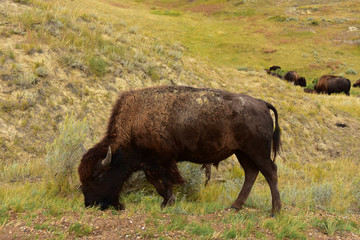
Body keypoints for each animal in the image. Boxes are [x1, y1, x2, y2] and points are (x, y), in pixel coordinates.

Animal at [78, 85, 282, 215]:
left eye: (99, 177)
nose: (90, 204)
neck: (137, 119)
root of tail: (261, 103)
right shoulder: (151, 162)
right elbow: (155, 181)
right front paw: (165, 202)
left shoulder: (164, 159)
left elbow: (166, 180)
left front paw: (168, 202)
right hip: (242, 153)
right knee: (251, 174)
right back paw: (234, 207)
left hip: (257, 152)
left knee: (270, 172)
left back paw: (275, 210)